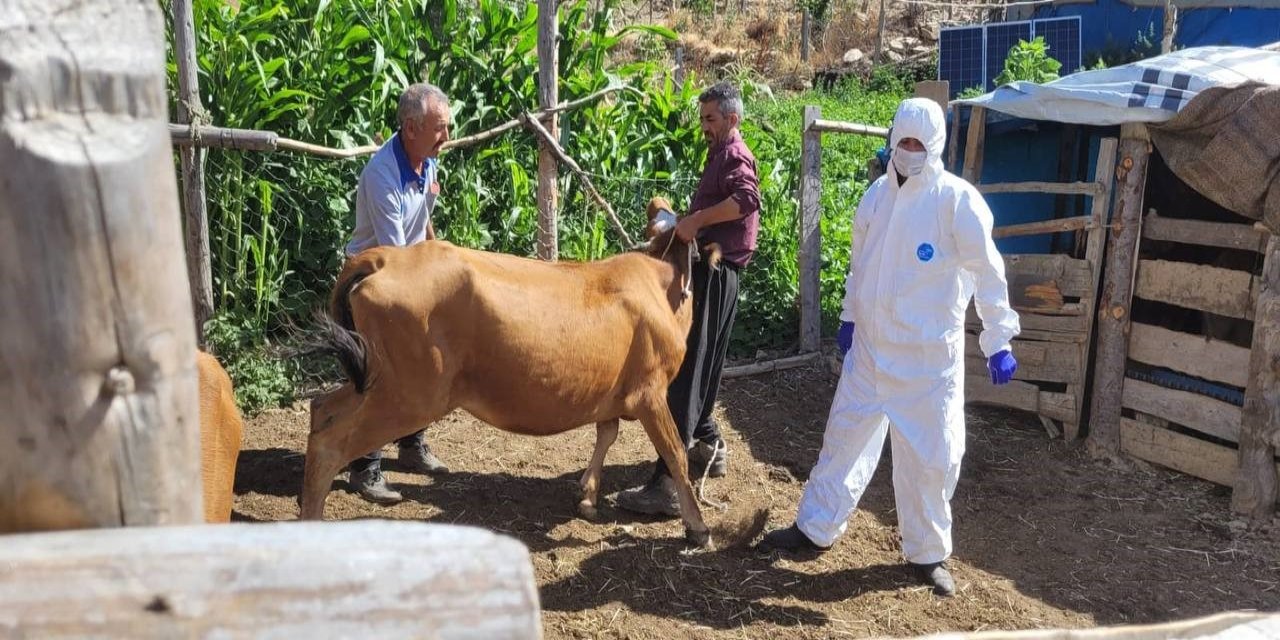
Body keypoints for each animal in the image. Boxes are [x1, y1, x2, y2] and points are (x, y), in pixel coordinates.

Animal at [302, 195, 721, 545]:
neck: (659, 285)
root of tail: (385, 258)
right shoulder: (650, 391)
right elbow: (674, 452)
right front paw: (697, 526)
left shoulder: (613, 390)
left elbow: (607, 432)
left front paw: (587, 496)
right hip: (412, 393)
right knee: (331, 441)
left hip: (378, 379)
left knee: (322, 409)